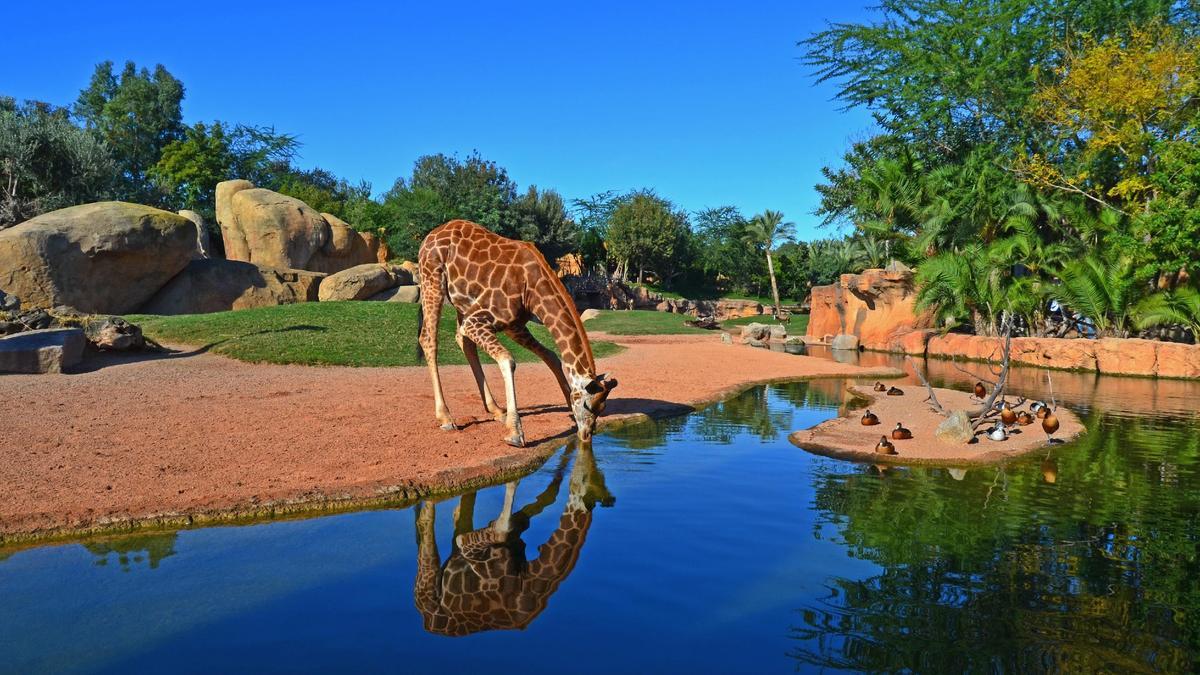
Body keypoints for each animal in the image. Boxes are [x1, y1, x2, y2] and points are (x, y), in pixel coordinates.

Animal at [417, 218, 619, 444]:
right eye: (587, 404)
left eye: (602, 407)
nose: (586, 435)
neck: (532, 288)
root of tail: (430, 236)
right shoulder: (478, 321)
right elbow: (508, 361)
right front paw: (515, 432)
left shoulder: (514, 326)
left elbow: (551, 357)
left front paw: (567, 406)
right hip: (432, 279)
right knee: (428, 338)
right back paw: (446, 417)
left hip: (463, 304)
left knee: (463, 340)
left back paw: (496, 410)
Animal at [417, 441, 614, 634]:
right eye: (589, 480)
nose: (585, 443)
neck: (527, 581)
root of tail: (429, 624)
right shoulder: (476, 555)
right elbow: (497, 526)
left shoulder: (519, 531)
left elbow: (542, 500)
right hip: (427, 593)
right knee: (426, 526)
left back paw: (455, 512)